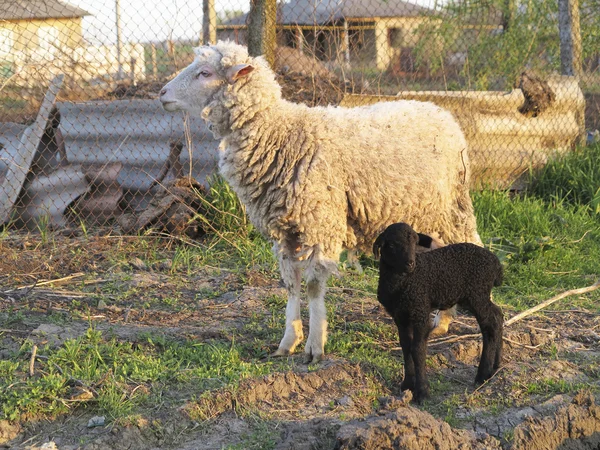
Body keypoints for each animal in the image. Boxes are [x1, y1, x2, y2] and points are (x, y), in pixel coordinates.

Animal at [159, 42, 482, 364]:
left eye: (205, 72)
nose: (162, 93)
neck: (279, 133)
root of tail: (440, 111)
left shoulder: (319, 223)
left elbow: (313, 287)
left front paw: (315, 346)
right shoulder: (285, 230)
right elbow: (291, 284)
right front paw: (288, 340)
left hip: (453, 207)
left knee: (467, 246)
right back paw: (441, 320)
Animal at [372, 223, 504, 402]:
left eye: (415, 243)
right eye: (391, 244)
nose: (410, 263)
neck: (403, 281)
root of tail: (496, 264)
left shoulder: (420, 311)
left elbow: (418, 349)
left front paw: (422, 392)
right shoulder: (400, 316)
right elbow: (406, 347)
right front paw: (407, 384)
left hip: (477, 294)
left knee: (490, 325)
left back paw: (483, 375)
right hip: (474, 297)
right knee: (497, 315)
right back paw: (496, 366)